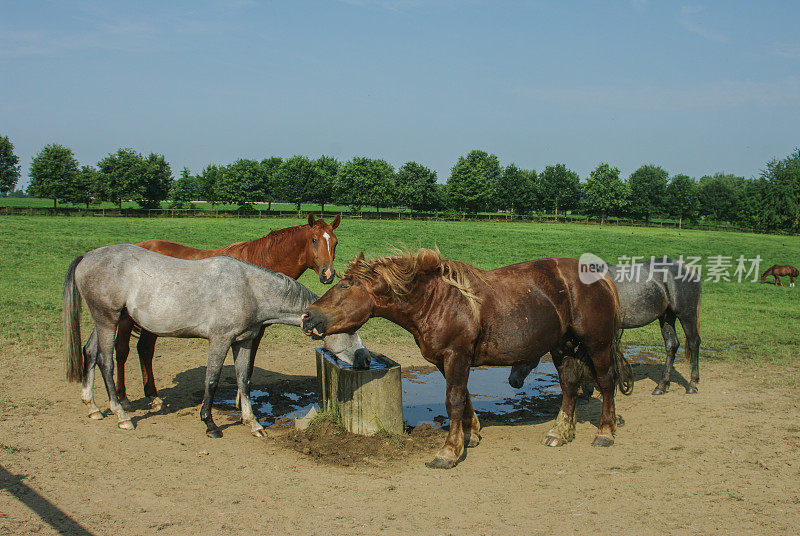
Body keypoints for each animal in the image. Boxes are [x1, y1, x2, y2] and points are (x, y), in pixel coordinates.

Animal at [64, 245, 374, 438]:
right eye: (351, 327)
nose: (366, 359)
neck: (250, 289)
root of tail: (87, 257)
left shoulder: (243, 342)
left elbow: (244, 379)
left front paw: (253, 422)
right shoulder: (220, 340)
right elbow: (211, 380)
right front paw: (210, 424)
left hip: (106, 320)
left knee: (89, 352)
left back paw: (92, 407)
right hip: (108, 320)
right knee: (105, 360)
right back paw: (121, 415)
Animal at [110, 211, 340, 408]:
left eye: (335, 242)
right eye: (314, 240)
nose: (328, 274)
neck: (257, 267)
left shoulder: (254, 331)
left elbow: (248, 365)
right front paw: (241, 402)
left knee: (145, 349)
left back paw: (152, 396)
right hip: (126, 319)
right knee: (121, 351)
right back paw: (123, 398)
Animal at [300, 248, 632, 468]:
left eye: (344, 286)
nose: (307, 317)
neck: (437, 300)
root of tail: (599, 277)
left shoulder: (456, 355)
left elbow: (453, 400)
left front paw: (448, 451)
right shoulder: (444, 360)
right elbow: (464, 396)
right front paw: (470, 435)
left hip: (597, 344)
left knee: (606, 382)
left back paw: (605, 432)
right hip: (562, 347)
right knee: (570, 386)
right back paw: (560, 432)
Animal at [512, 258, 700, 396]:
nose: (513, 381)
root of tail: (688, 268)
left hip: (686, 315)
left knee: (693, 343)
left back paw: (692, 384)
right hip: (666, 316)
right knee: (671, 345)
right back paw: (662, 385)